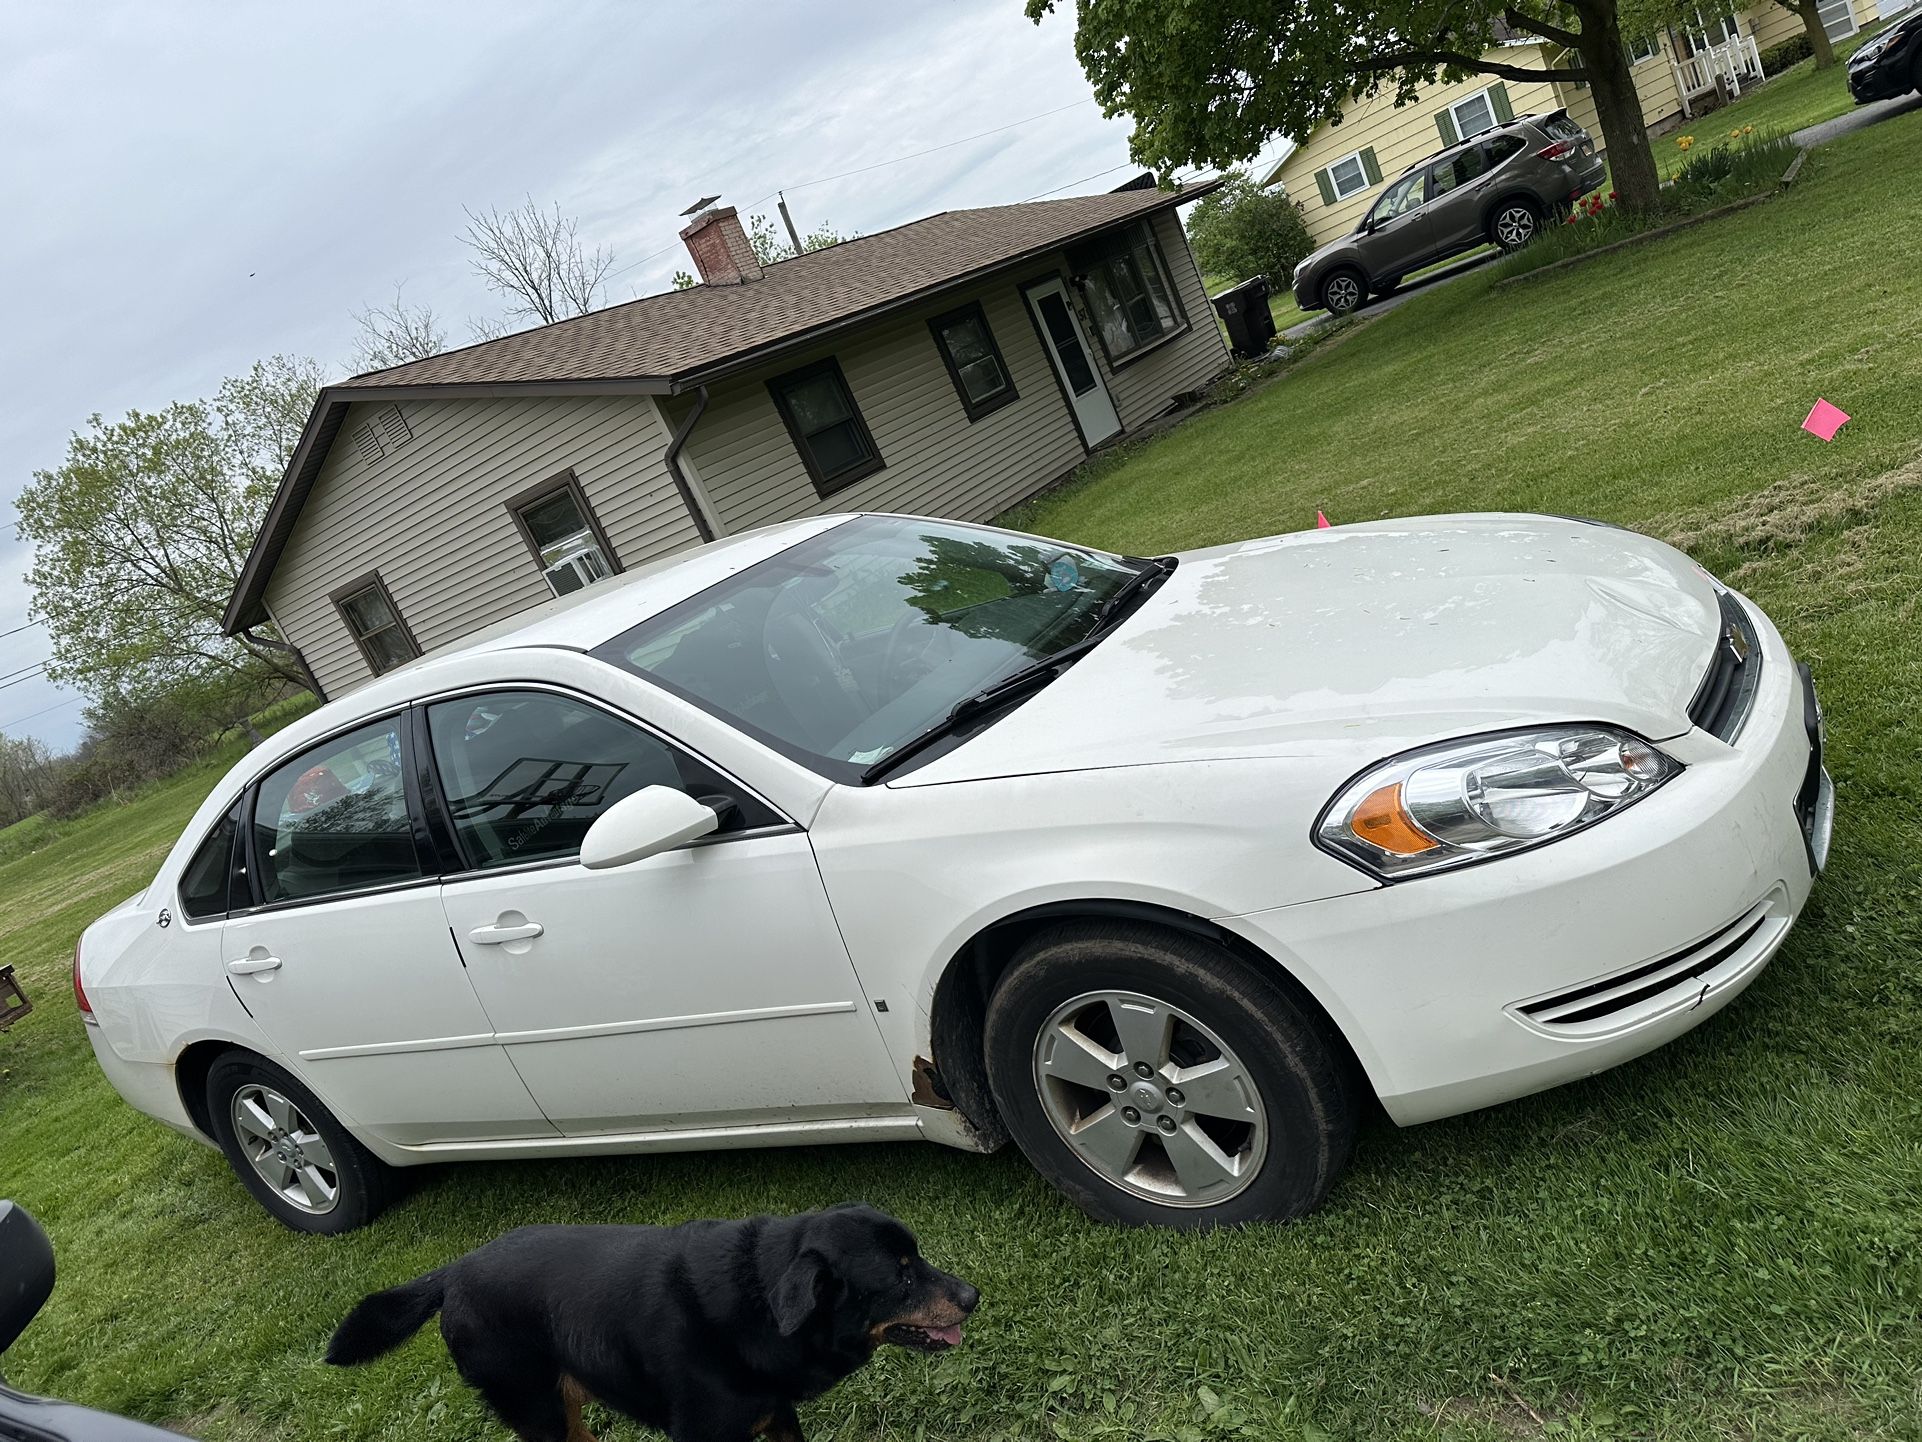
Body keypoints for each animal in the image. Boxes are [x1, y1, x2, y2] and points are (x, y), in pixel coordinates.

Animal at [326, 1207, 976, 1442]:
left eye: (917, 1256)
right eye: (900, 1278)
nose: (973, 1296)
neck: (758, 1306)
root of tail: (453, 1272)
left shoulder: (776, 1417)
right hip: (534, 1409)